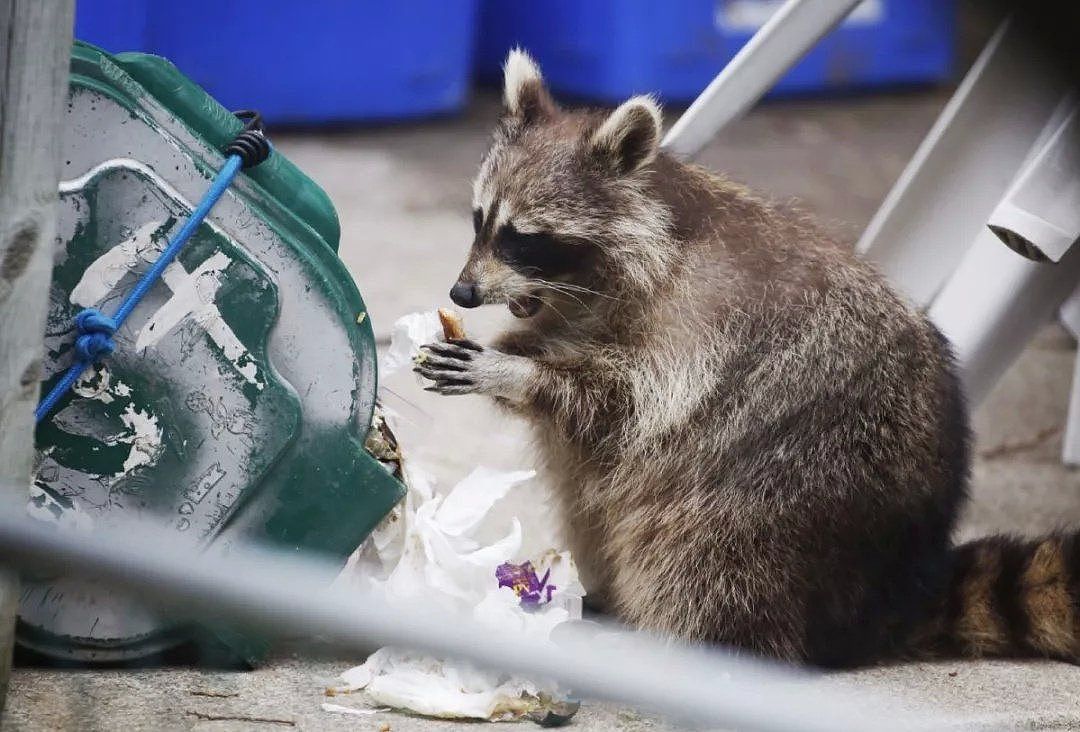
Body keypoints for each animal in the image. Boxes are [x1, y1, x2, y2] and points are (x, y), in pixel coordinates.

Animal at [416, 50, 1080, 669]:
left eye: (523, 238)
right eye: (480, 220)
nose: (462, 293)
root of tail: (892, 596)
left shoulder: (702, 327)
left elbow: (625, 409)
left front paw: (517, 374)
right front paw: (510, 351)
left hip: (802, 488)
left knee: (710, 547)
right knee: (589, 492)